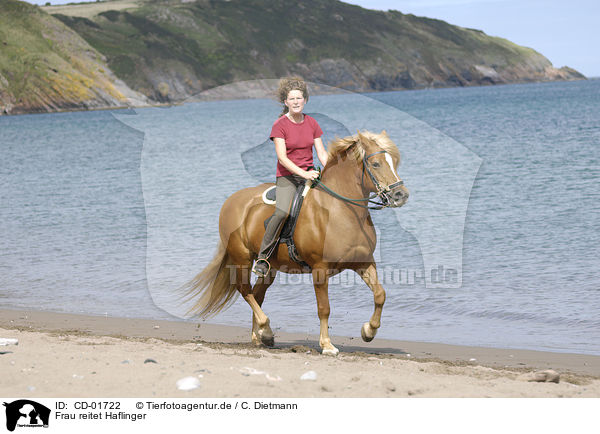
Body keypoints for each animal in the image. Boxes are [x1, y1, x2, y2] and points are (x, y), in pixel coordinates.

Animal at [183, 131, 408, 354]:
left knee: (257, 294)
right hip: (242, 258)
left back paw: (260, 337)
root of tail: (231, 201)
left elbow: (380, 294)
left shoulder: (363, 262)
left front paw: (368, 331)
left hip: (270, 267)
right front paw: (327, 345)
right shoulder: (320, 269)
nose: (401, 195)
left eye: (394, 162)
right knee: (245, 290)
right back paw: (265, 330)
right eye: (376, 164)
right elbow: (324, 308)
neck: (341, 211)